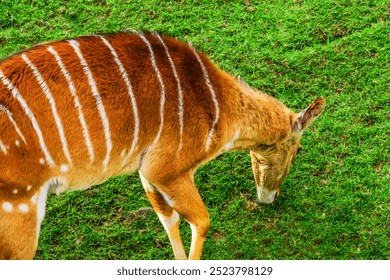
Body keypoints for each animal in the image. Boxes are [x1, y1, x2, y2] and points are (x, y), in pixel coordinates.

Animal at [0, 31, 322, 260]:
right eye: (297, 151)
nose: (270, 197)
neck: (220, 104)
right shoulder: (168, 170)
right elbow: (201, 221)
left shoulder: (147, 173)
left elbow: (169, 220)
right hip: (20, 212)